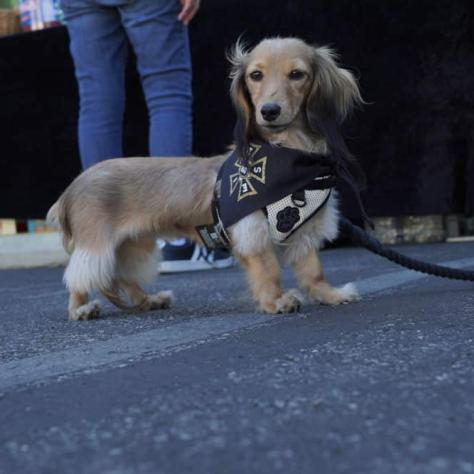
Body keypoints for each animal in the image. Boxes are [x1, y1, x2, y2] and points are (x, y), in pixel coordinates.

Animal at [47, 36, 362, 318]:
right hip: (97, 246)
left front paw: (329, 295)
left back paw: (149, 300)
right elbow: (269, 270)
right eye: (256, 75)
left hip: (133, 244)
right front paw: (276, 302)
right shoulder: (251, 232)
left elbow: (313, 271)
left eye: (297, 74)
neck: (287, 156)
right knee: (80, 278)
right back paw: (81, 309)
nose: (269, 111)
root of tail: (70, 190)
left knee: (123, 277)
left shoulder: (303, 231)